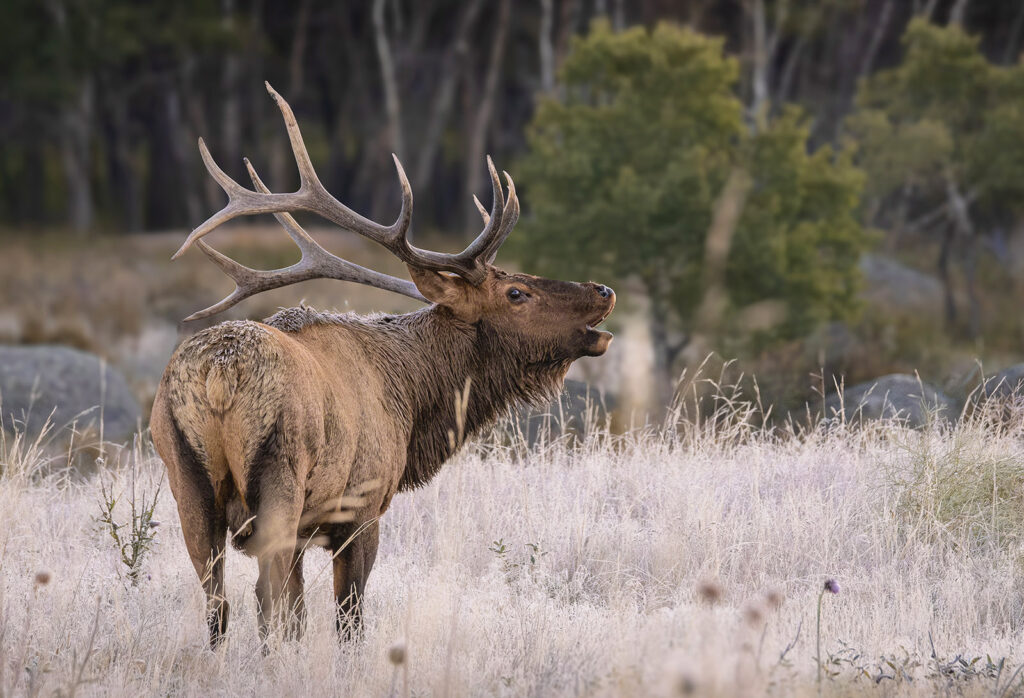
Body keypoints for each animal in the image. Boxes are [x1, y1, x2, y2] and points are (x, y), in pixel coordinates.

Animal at [149, 83, 615, 648]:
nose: (604, 289)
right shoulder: (362, 507)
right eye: (516, 292)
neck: (413, 403)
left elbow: (301, 615)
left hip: (186, 478)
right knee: (264, 599)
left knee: (218, 604)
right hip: (280, 476)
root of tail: (219, 374)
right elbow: (348, 619)